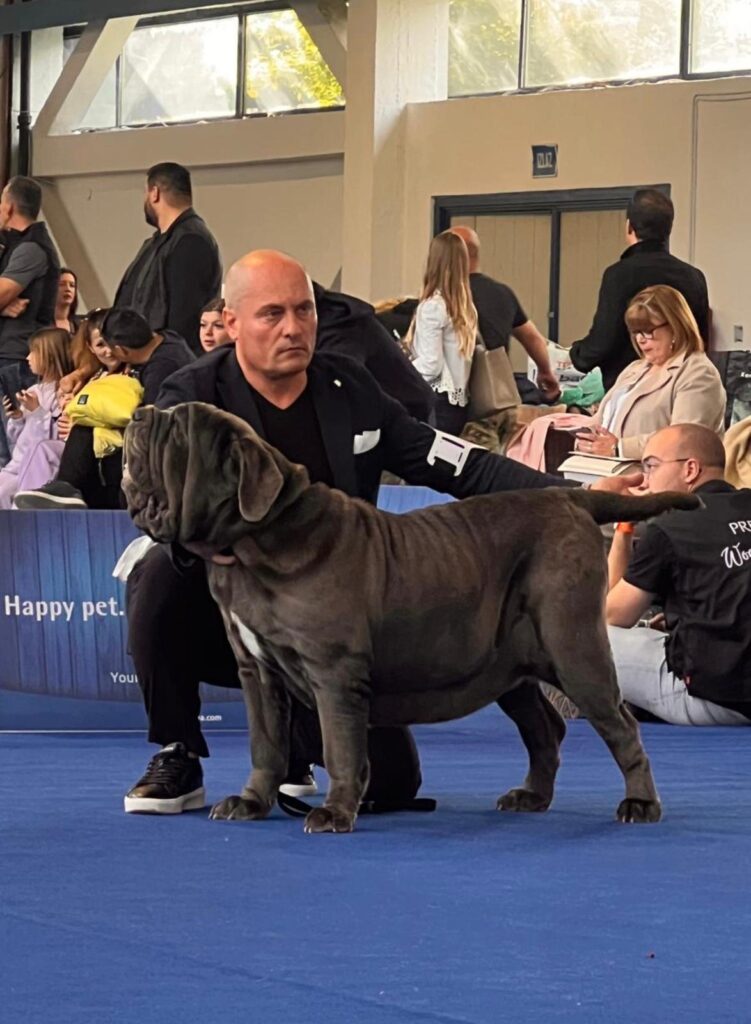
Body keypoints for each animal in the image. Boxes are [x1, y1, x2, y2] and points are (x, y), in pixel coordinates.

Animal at [124, 399, 696, 831]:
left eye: (177, 430)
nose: (140, 413)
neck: (254, 541)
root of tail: (570, 498)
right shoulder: (257, 672)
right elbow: (265, 745)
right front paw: (251, 802)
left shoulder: (334, 672)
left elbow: (340, 746)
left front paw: (334, 812)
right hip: (509, 663)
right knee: (544, 727)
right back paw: (531, 796)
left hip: (573, 647)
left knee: (620, 724)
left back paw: (640, 804)